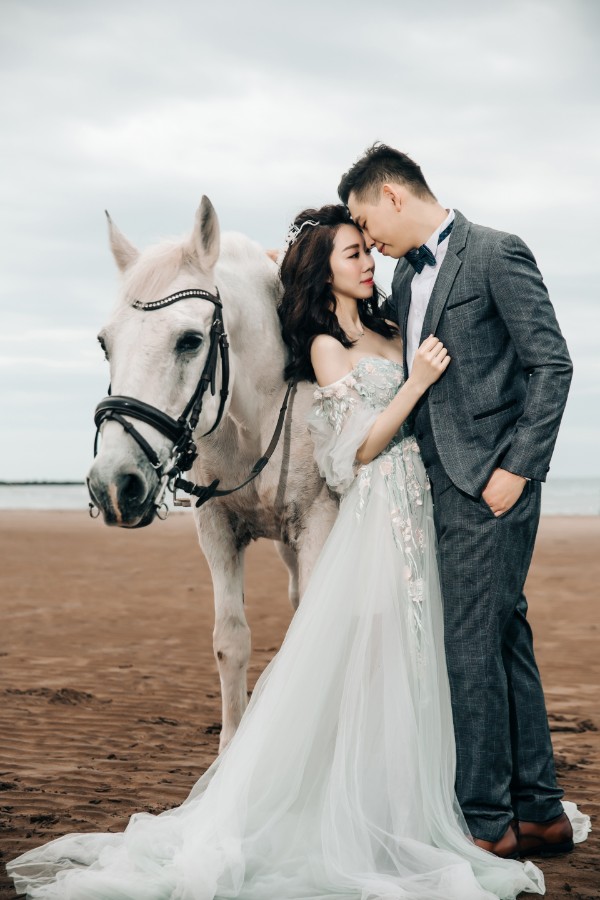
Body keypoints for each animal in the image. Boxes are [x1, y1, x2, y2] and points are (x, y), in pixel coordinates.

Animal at [89, 199, 342, 752]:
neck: (256, 415)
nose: (114, 484)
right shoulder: (218, 530)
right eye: (104, 343)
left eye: (190, 340)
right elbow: (231, 639)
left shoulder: (319, 522)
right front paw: (231, 754)